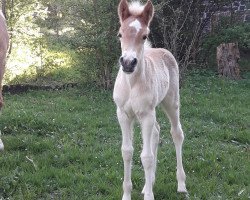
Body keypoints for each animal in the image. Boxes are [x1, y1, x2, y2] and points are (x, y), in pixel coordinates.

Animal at [113, 0, 186, 199]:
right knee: (156, 131)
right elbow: (127, 152)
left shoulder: (146, 114)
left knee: (177, 133)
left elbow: (146, 157)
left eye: (145, 36)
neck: (132, 83)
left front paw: (149, 196)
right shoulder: (123, 114)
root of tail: (163, 50)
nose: (128, 62)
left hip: (171, 102)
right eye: (120, 34)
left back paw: (181, 184)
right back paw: (149, 183)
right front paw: (127, 194)